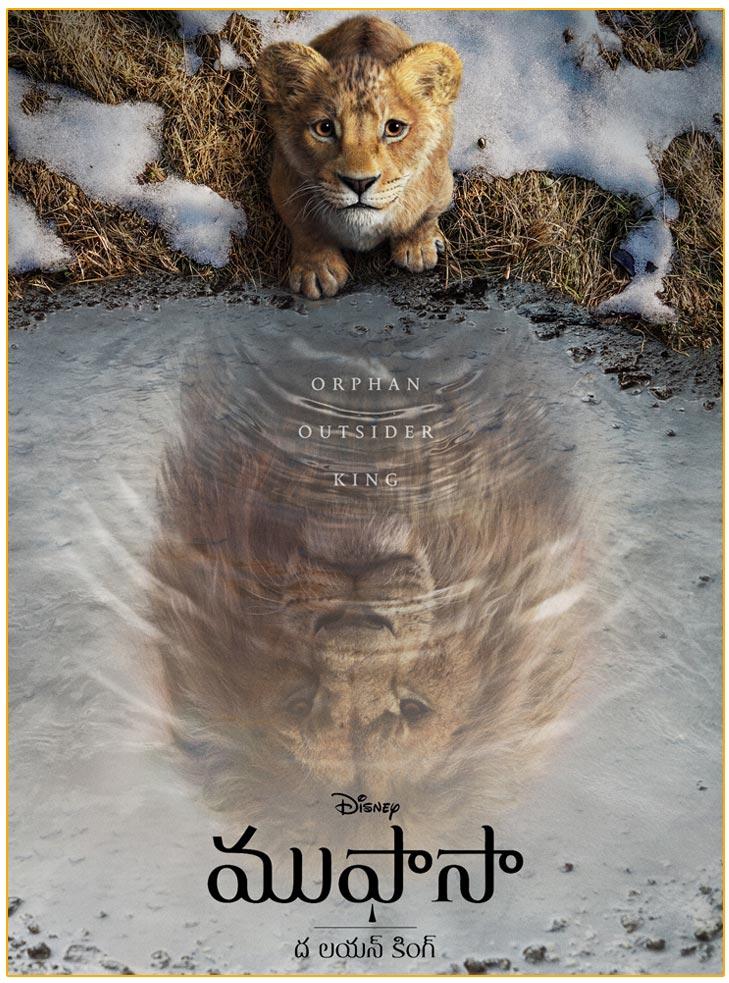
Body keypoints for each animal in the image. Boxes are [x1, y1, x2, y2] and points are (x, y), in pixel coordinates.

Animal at [256, 16, 463, 300]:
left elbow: (424, 217)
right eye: (324, 128)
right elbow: (305, 228)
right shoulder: (284, 182)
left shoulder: (440, 182)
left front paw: (418, 248)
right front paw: (316, 271)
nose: (359, 183)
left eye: (394, 128)